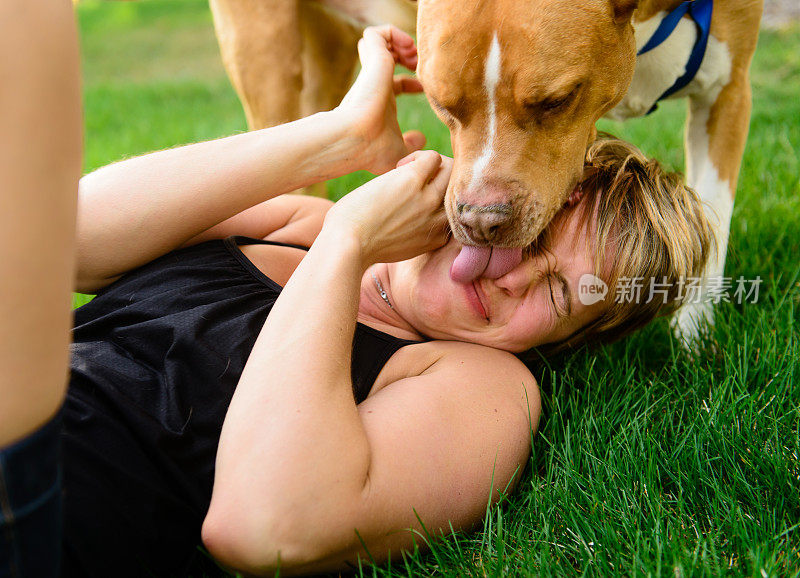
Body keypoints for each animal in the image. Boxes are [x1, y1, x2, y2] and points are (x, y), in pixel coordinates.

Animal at [206, 0, 764, 336]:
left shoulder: (729, 93)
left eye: (557, 101)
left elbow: (713, 217)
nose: (480, 221)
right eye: (438, 102)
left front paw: (692, 341)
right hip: (266, 55)